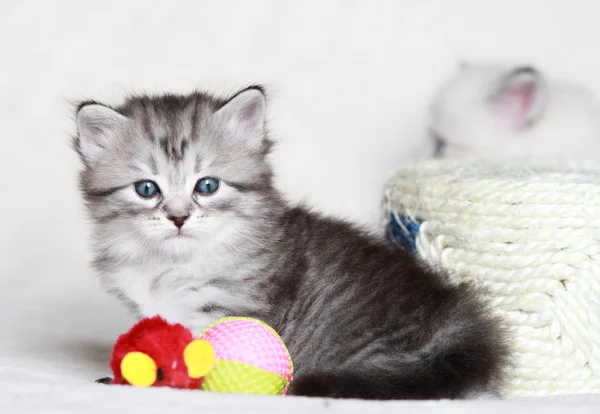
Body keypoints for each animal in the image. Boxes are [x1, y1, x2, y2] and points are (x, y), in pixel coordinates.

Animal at [72, 86, 508, 398]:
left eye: (207, 186)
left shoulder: (232, 307)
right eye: (147, 189)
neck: (171, 266)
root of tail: (453, 312)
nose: (178, 217)